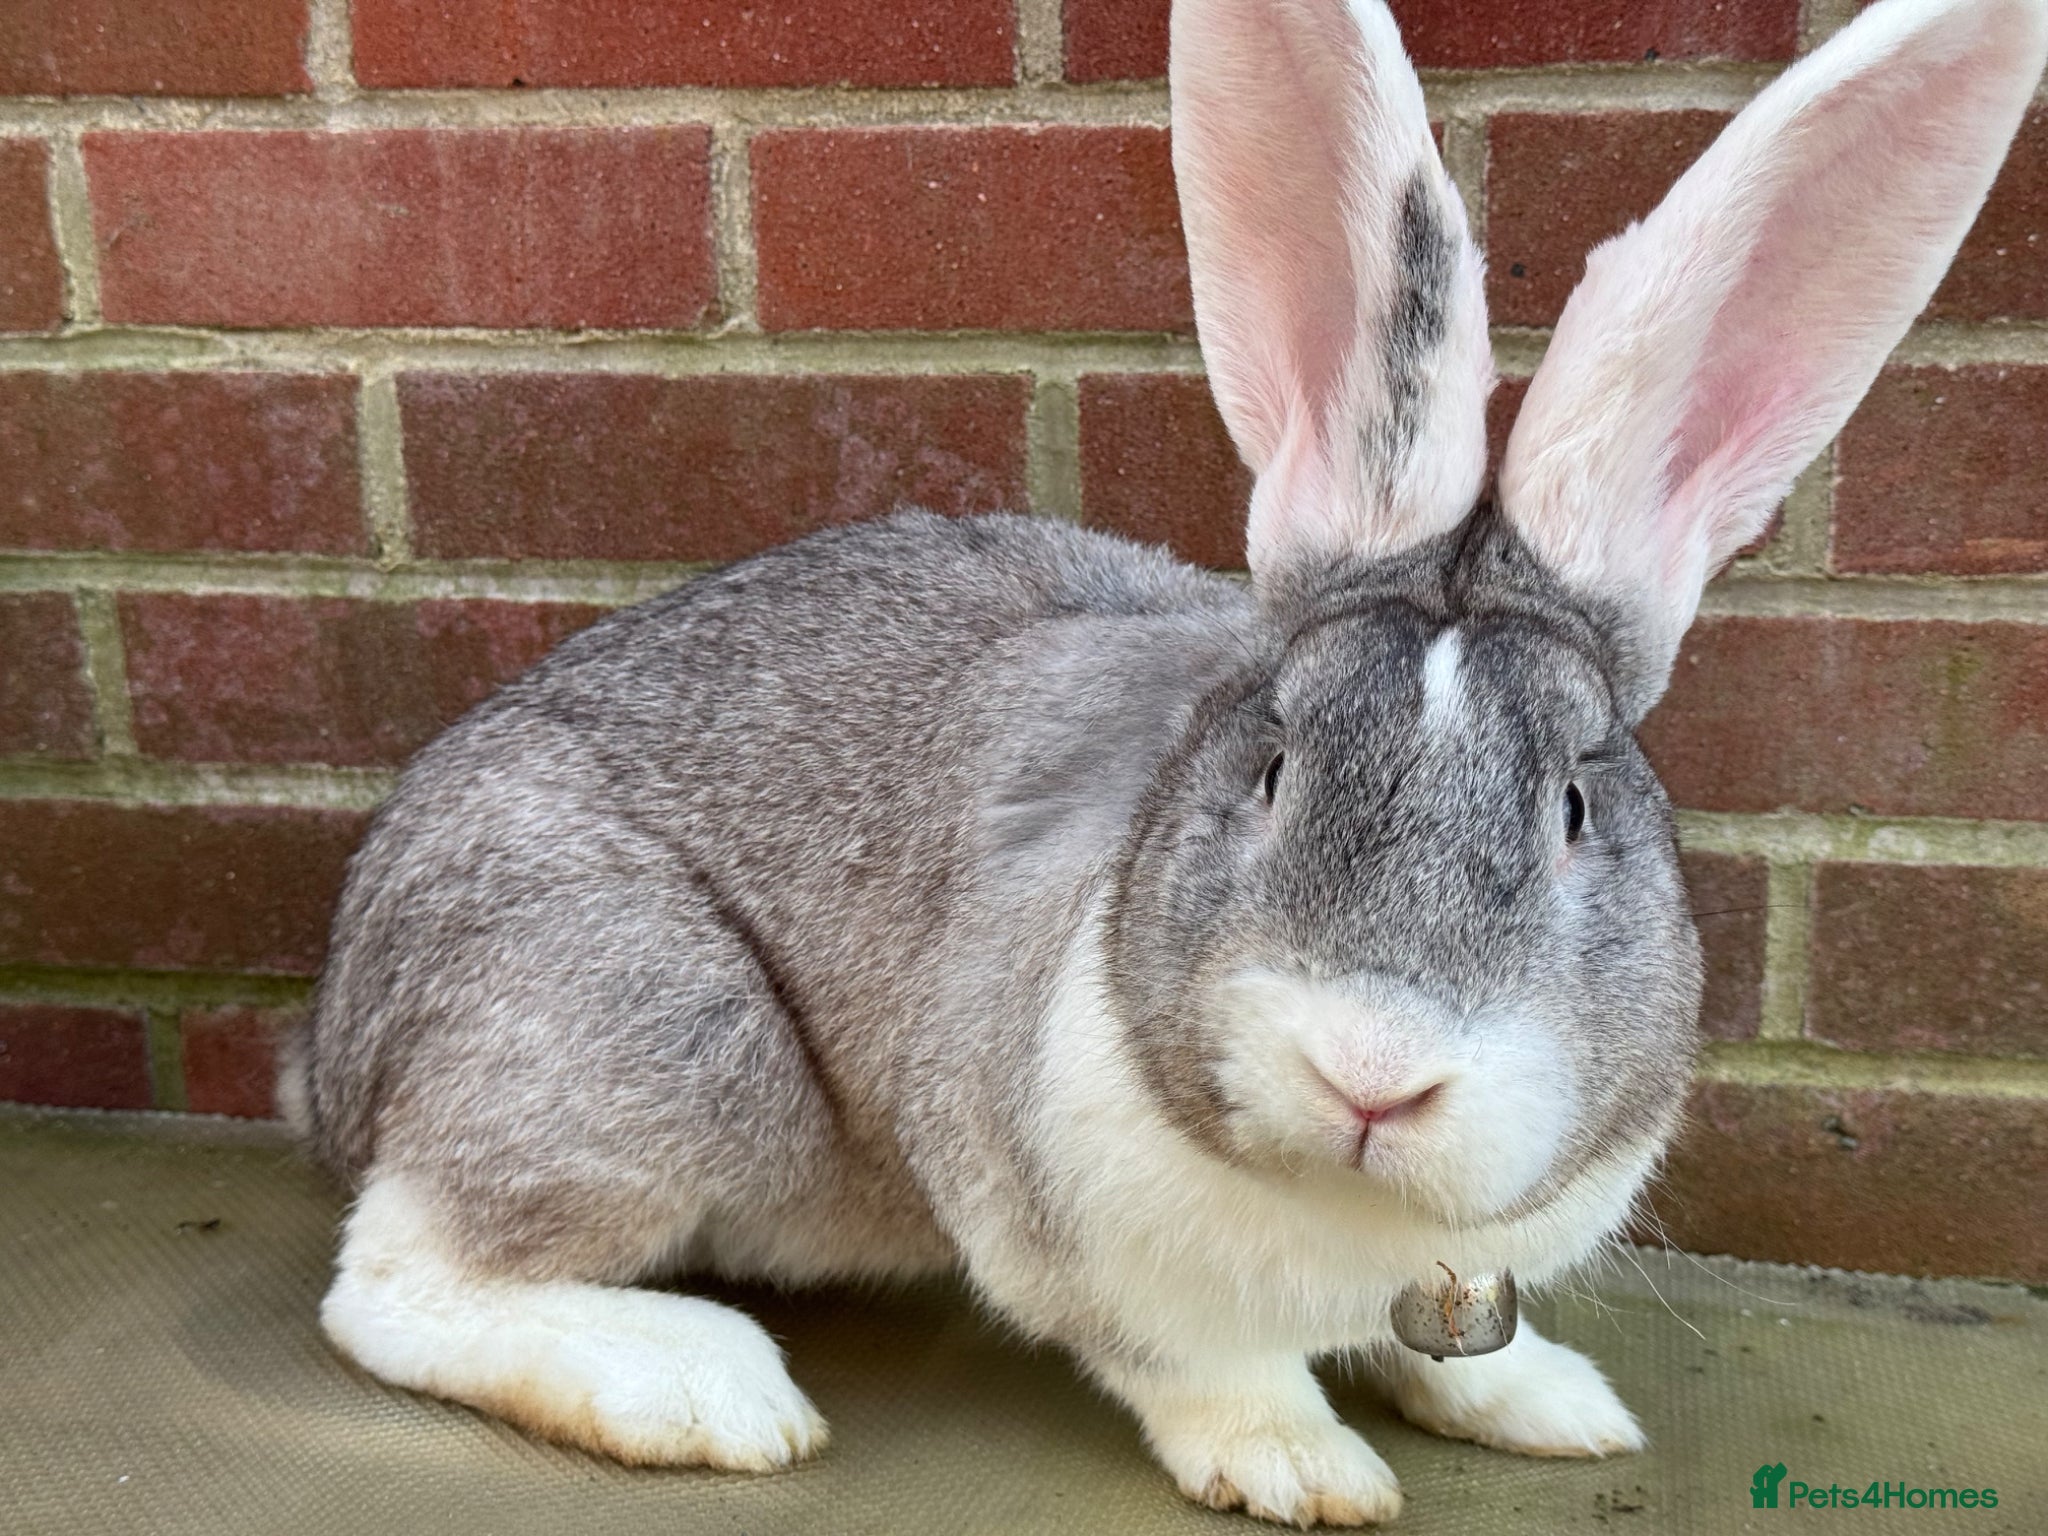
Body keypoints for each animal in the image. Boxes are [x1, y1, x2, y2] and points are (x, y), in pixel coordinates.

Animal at [286, 0, 2047, 1524]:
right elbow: (1208, 1368)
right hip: (645, 1028)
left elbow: (1458, 1350)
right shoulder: (1068, 1231)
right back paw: (702, 1390)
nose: (1373, 1071)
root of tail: (340, 1031)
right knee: (391, 1288)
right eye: (1270, 771)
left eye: (1572, 807)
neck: (1358, 1213)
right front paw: (1305, 1470)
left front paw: (1552, 1404)